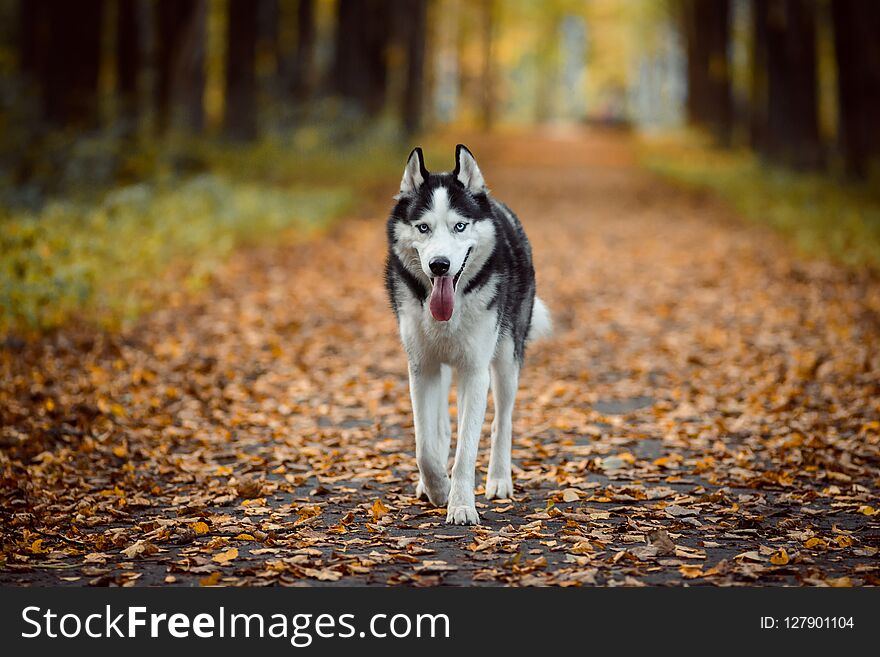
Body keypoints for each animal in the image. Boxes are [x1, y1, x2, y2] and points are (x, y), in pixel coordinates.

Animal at [384, 144, 552, 524]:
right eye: (423, 227)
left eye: (459, 226)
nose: (440, 265)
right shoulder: (421, 368)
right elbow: (424, 446)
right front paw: (437, 488)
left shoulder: (476, 371)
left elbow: (467, 447)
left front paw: (460, 504)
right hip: (446, 369)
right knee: (442, 429)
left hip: (505, 360)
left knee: (501, 422)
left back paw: (499, 480)